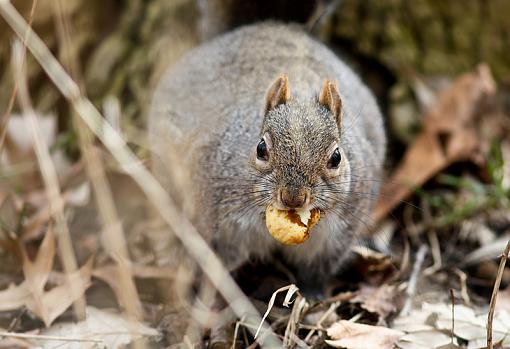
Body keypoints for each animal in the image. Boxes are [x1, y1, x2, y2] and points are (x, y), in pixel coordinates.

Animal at [147, 5, 386, 290]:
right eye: (261, 149)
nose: (293, 198)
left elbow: (318, 267)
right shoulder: (216, 216)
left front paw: (313, 291)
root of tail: (274, 25)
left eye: (336, 158)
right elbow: (215, 256)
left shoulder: (338, 233)